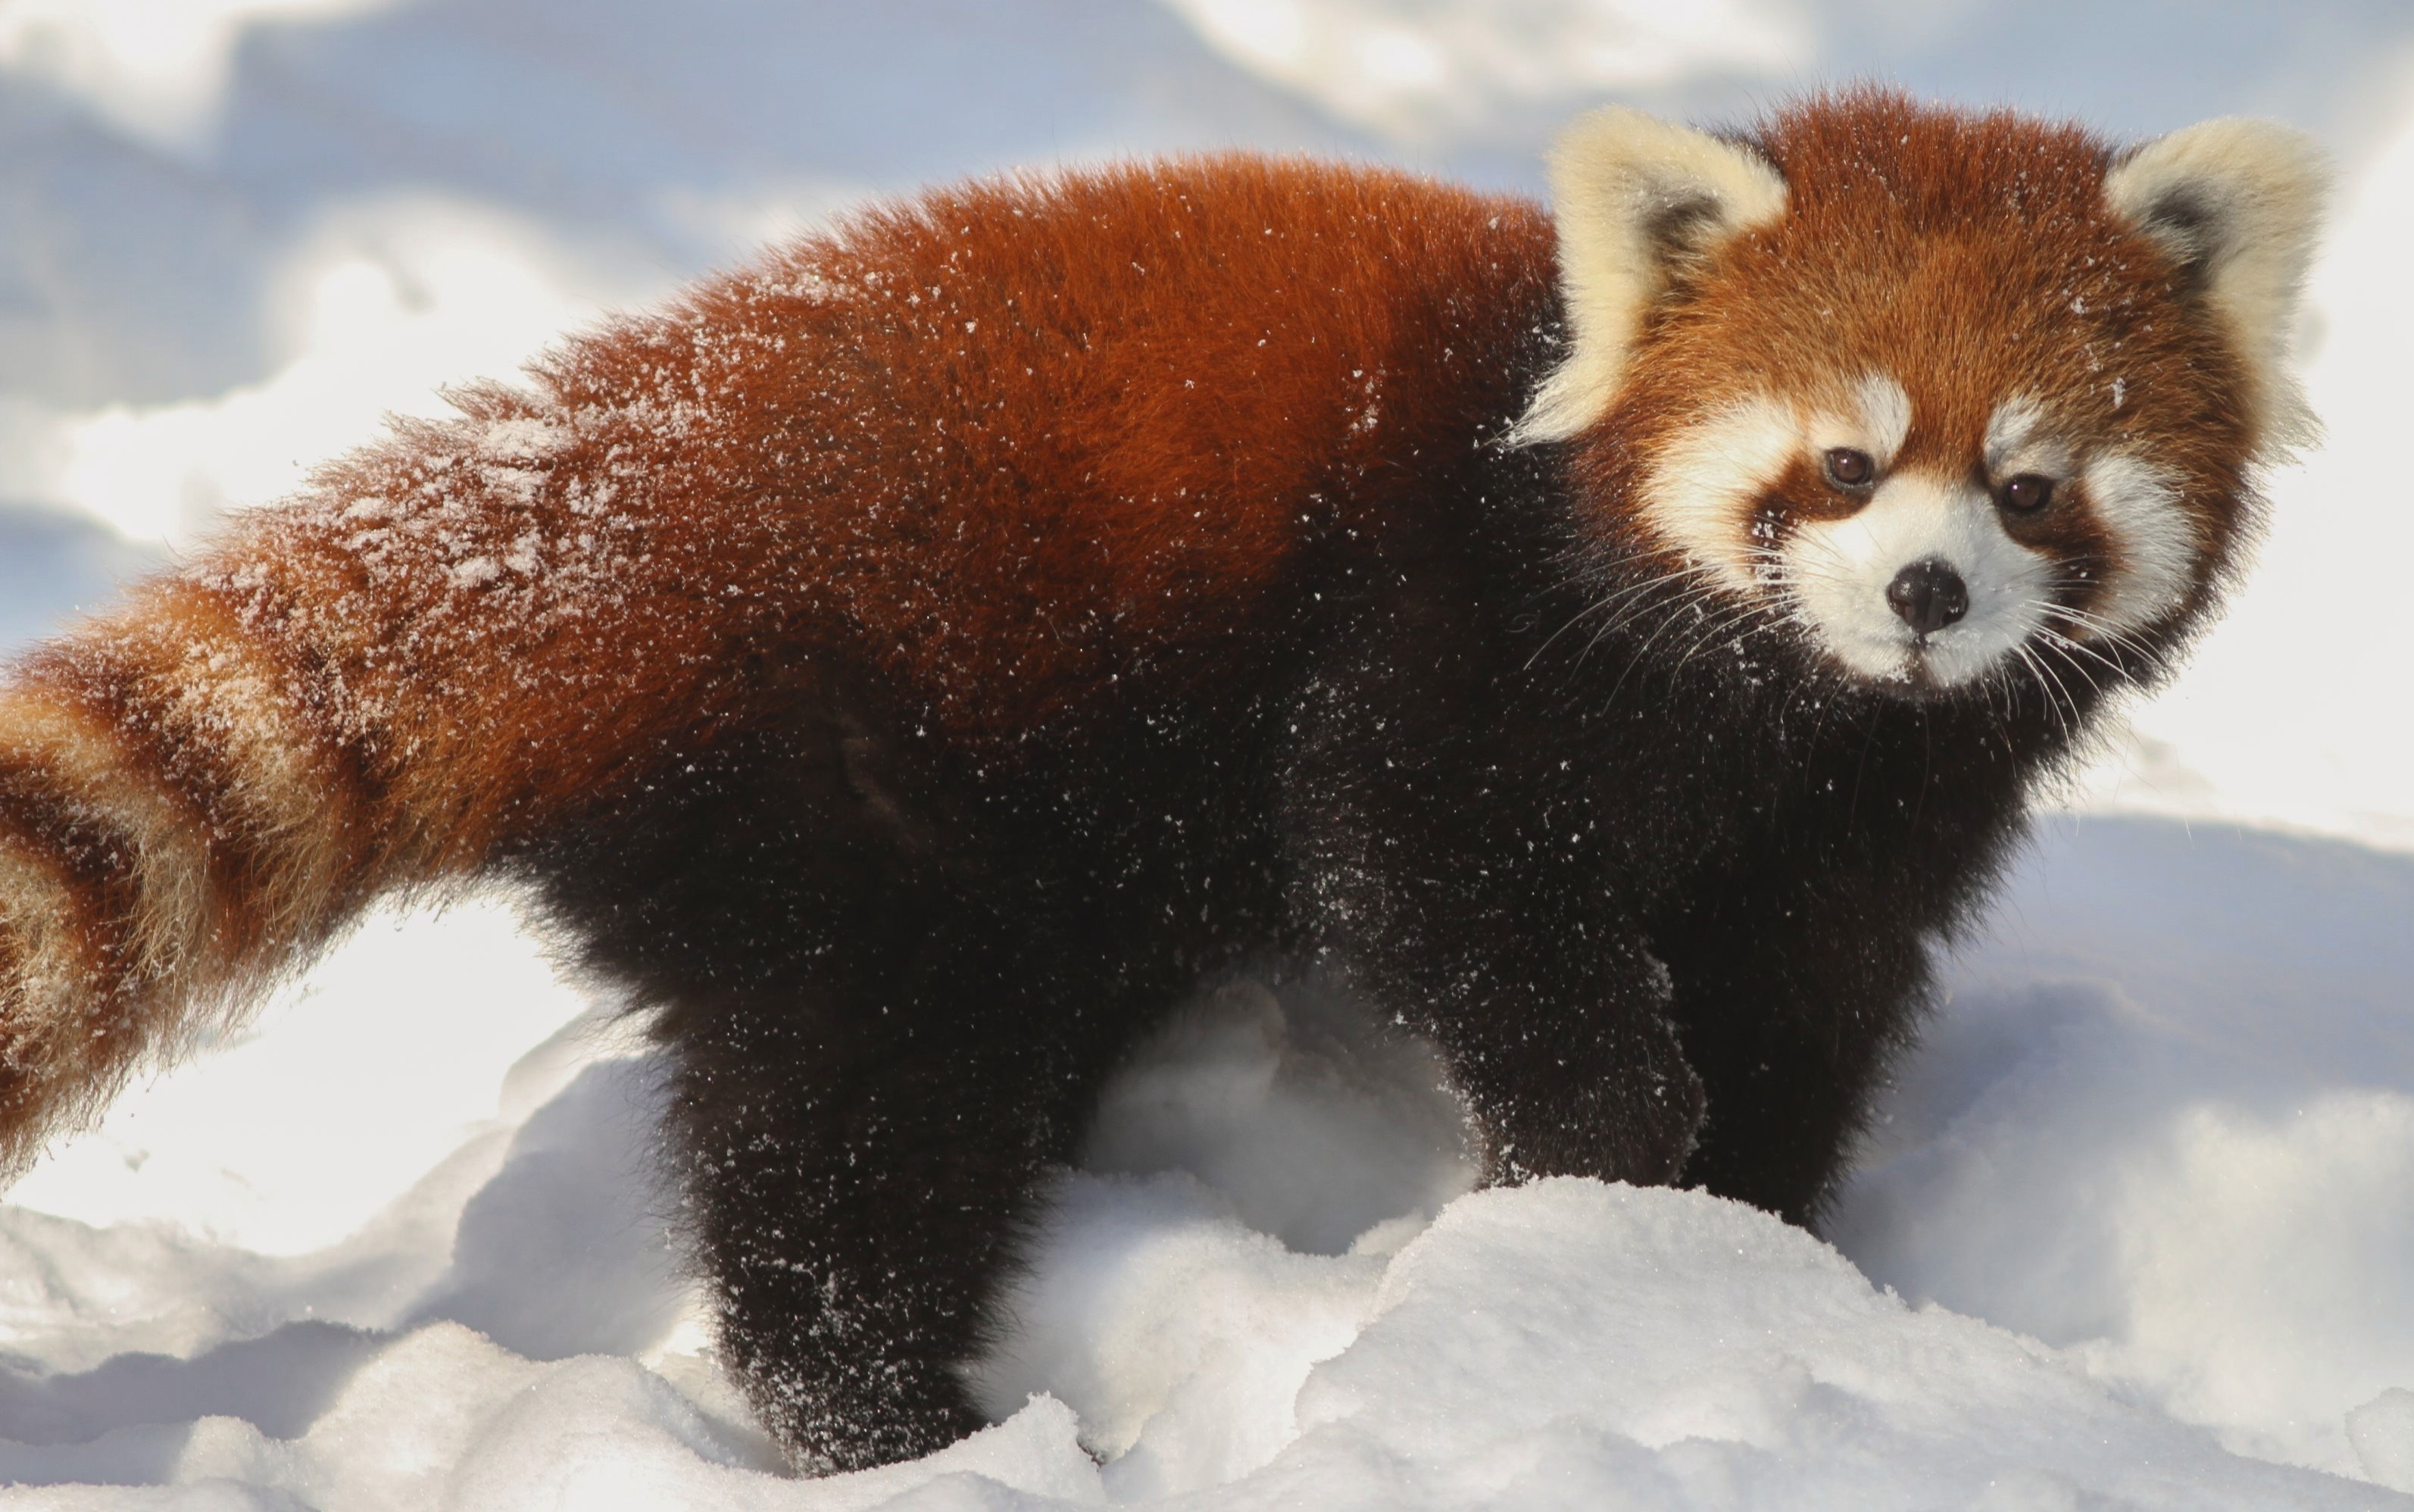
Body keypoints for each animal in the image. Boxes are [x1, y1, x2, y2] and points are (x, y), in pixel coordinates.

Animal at [0, 90, 2325, 1469]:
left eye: (2026, 483)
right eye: (1841, 464)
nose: (1927, 592)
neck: (1786, 711)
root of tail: (583, 494)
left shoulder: (1865, 825)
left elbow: (1803, 1013)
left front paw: (1732, 1253)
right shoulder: (1446, 630)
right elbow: (1420, 872)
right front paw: (1595, 1165)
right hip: (850, 767)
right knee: (859, 1129)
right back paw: (896, 1420)